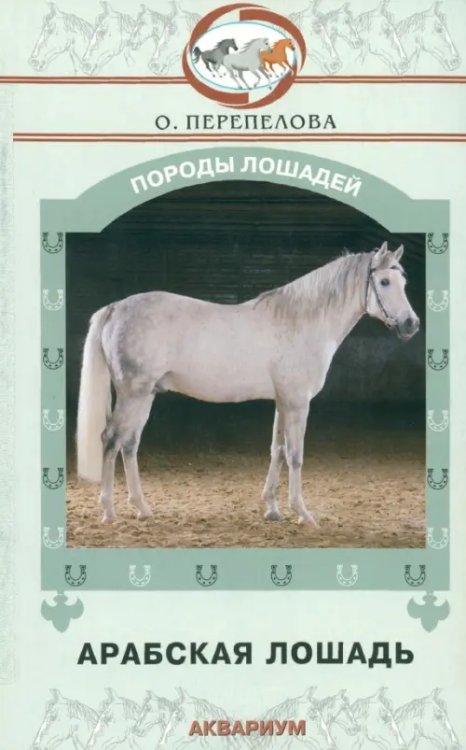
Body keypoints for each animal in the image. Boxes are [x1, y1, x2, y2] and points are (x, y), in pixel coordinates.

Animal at [76, 242, 419, 526]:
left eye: (404, 282)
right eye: (384, 282)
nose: (411, 324)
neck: (302, 321)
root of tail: (115, 308)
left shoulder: (283, 401)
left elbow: (277, 450)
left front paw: (273, 509)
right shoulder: (297, 402)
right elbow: (295, 454)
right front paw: (303, 514)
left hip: (145, 394)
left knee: (129, 444)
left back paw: (142, 508)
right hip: (133, 393)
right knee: (110, 439)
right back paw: (108, 511)